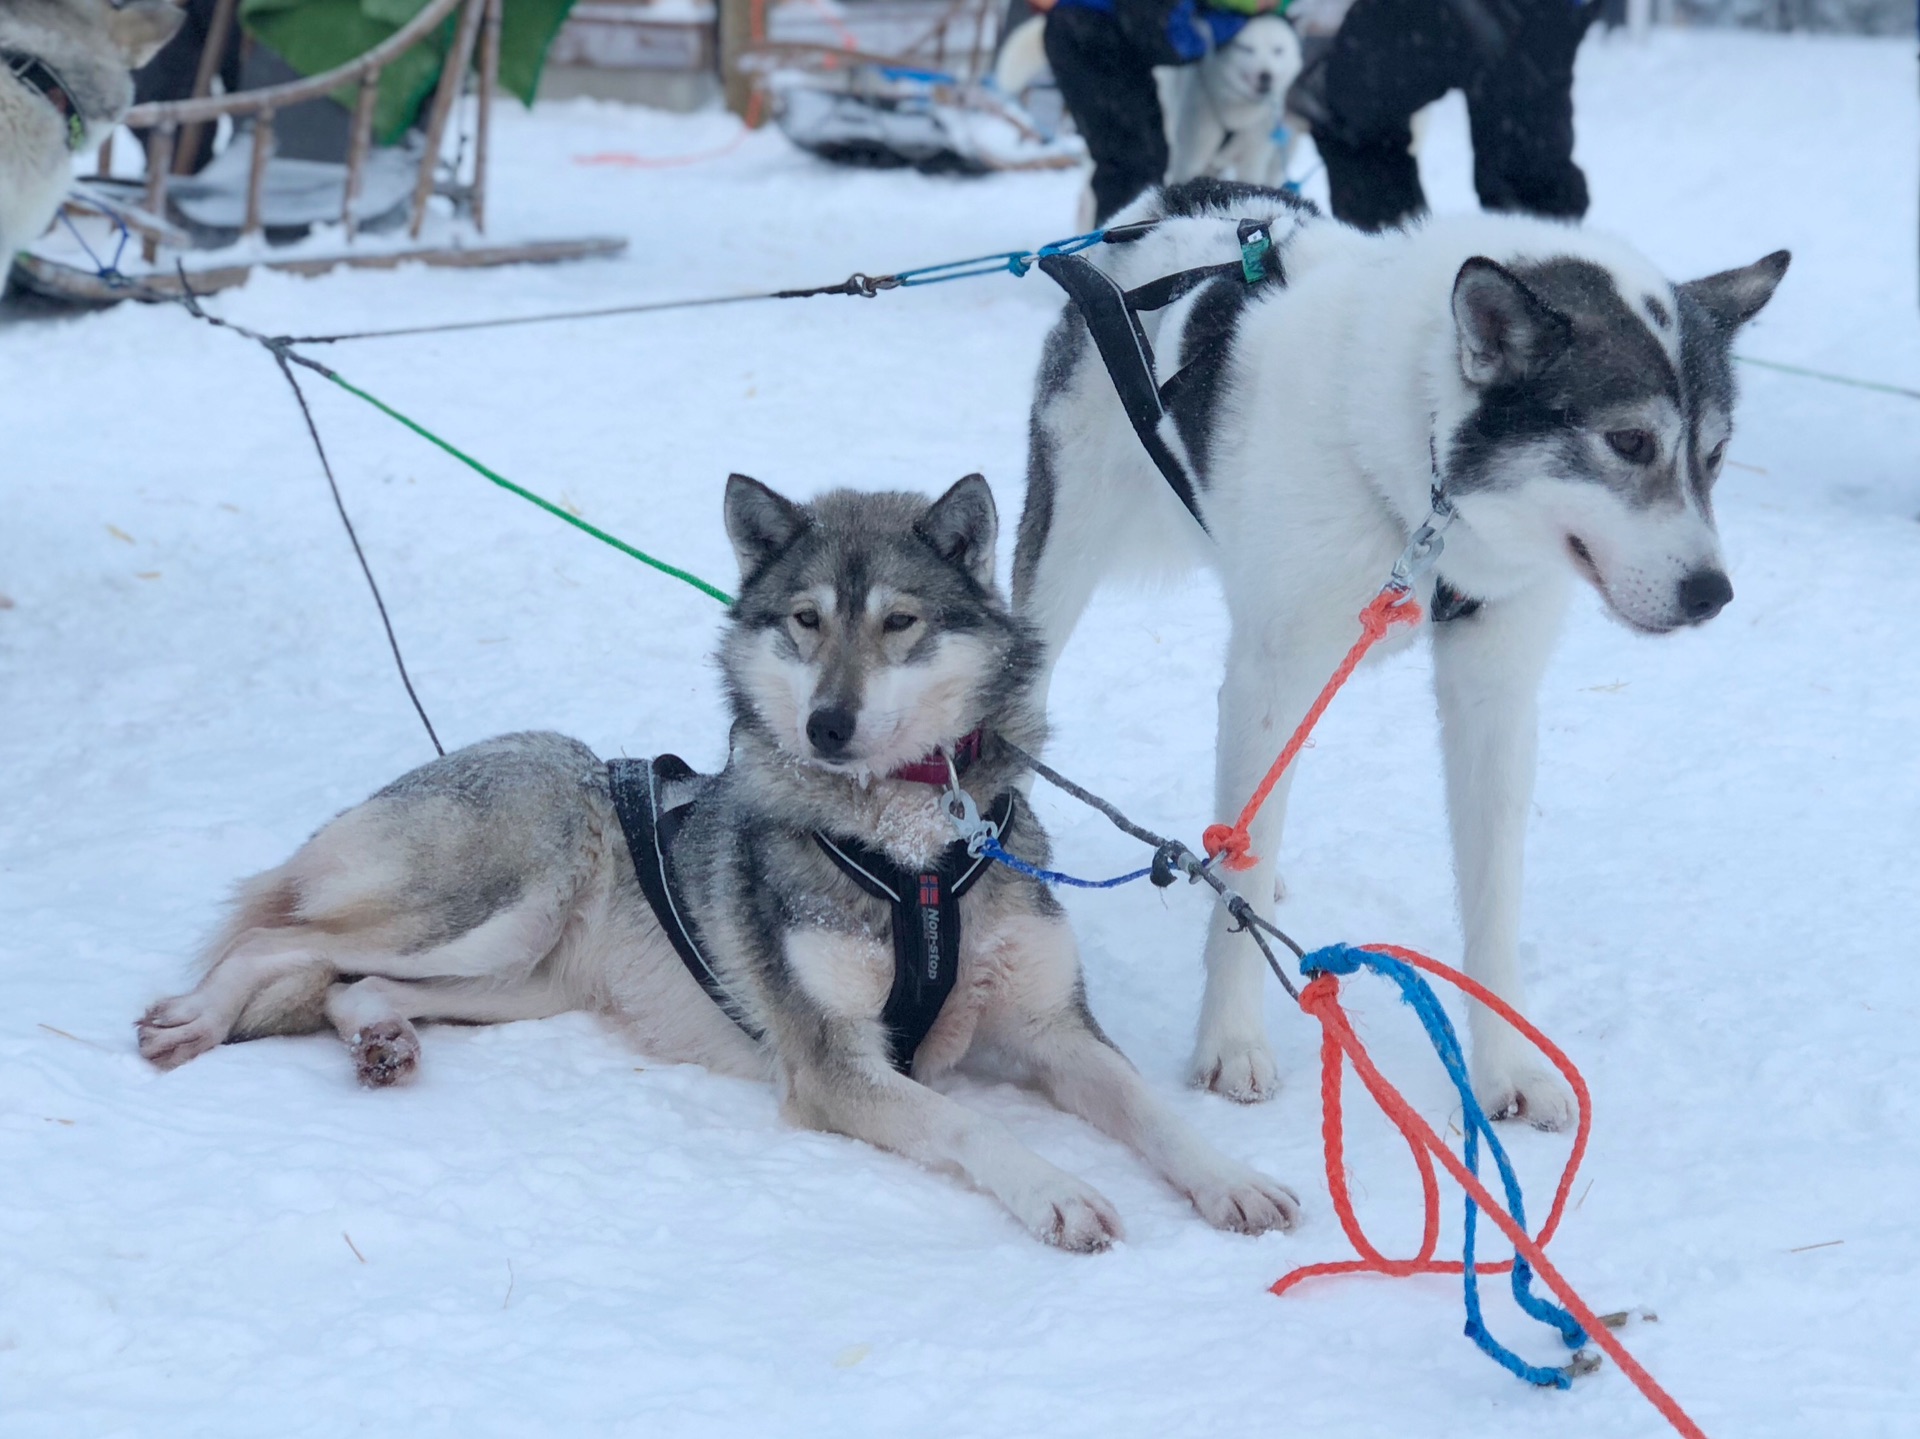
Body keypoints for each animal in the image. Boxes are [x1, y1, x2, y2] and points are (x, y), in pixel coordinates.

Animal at [139, 476, 1305, 1252]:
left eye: (899, 622)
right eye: (804, 621)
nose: (829, 723)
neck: (919, 859)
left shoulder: (1055, 1032)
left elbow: (1153, 1109)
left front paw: (1231, 1178)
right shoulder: (839, 1066)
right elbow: (969, 1119)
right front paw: (1055, 1188)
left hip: (515, 977)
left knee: (353, 983)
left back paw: (380, 1038)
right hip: (493, 905)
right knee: (274, 939)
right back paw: (196, 1017)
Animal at [1021, 176, 1781, 1121]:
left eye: (1716, 454)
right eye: (1630, 441)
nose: (1712, 593)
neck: (1426, 497)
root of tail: (1187, 193)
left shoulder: (1493, 696)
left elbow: (1492, 904)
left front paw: (1507, 1066)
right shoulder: (1272, 679)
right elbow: (1240, 884)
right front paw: (1231, 1041)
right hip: (1066, 555)